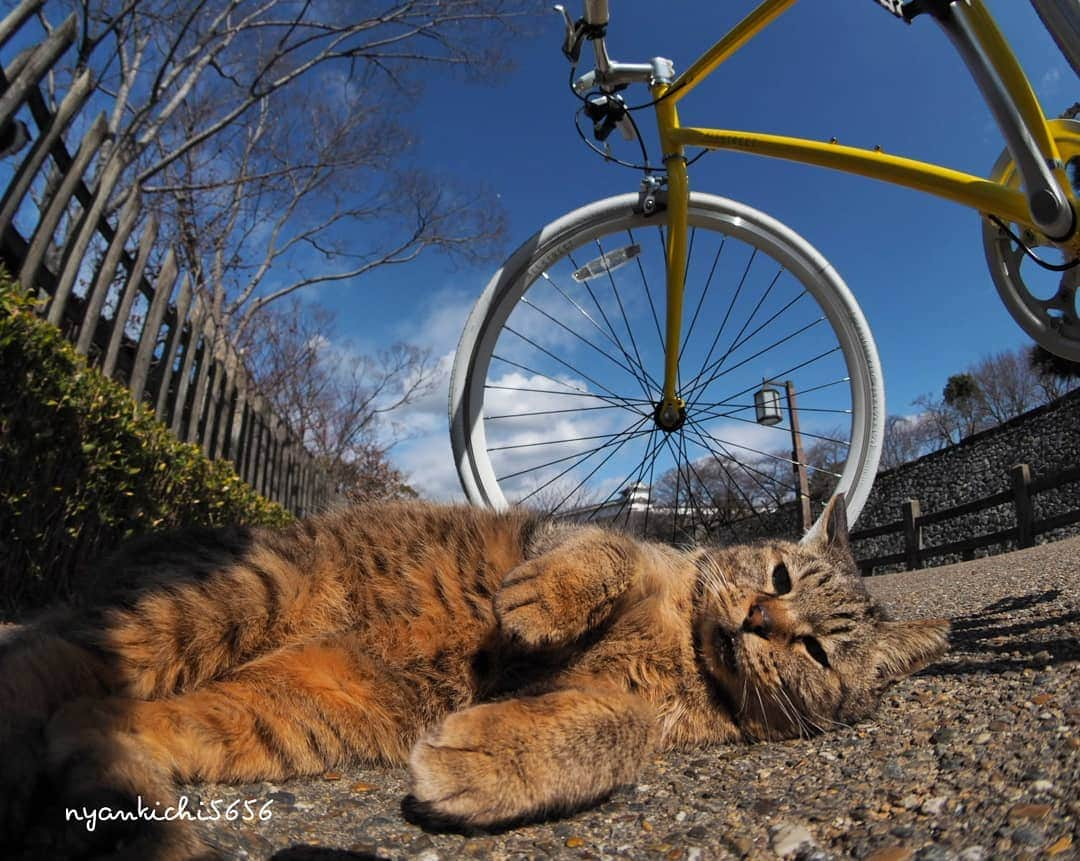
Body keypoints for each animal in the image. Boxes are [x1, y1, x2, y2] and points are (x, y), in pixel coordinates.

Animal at [0, 494, 946, 855]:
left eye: (817, 652)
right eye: (780, 576)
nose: (757, 620)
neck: (681, 646)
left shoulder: (631, 716)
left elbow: (606, 734)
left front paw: (487, 763)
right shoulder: (601, 542)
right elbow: (597, 554)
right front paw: (536, 599)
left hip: (283, 709)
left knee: (86, 717)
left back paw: (132, 811)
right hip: (210, 607)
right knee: (43, 664)